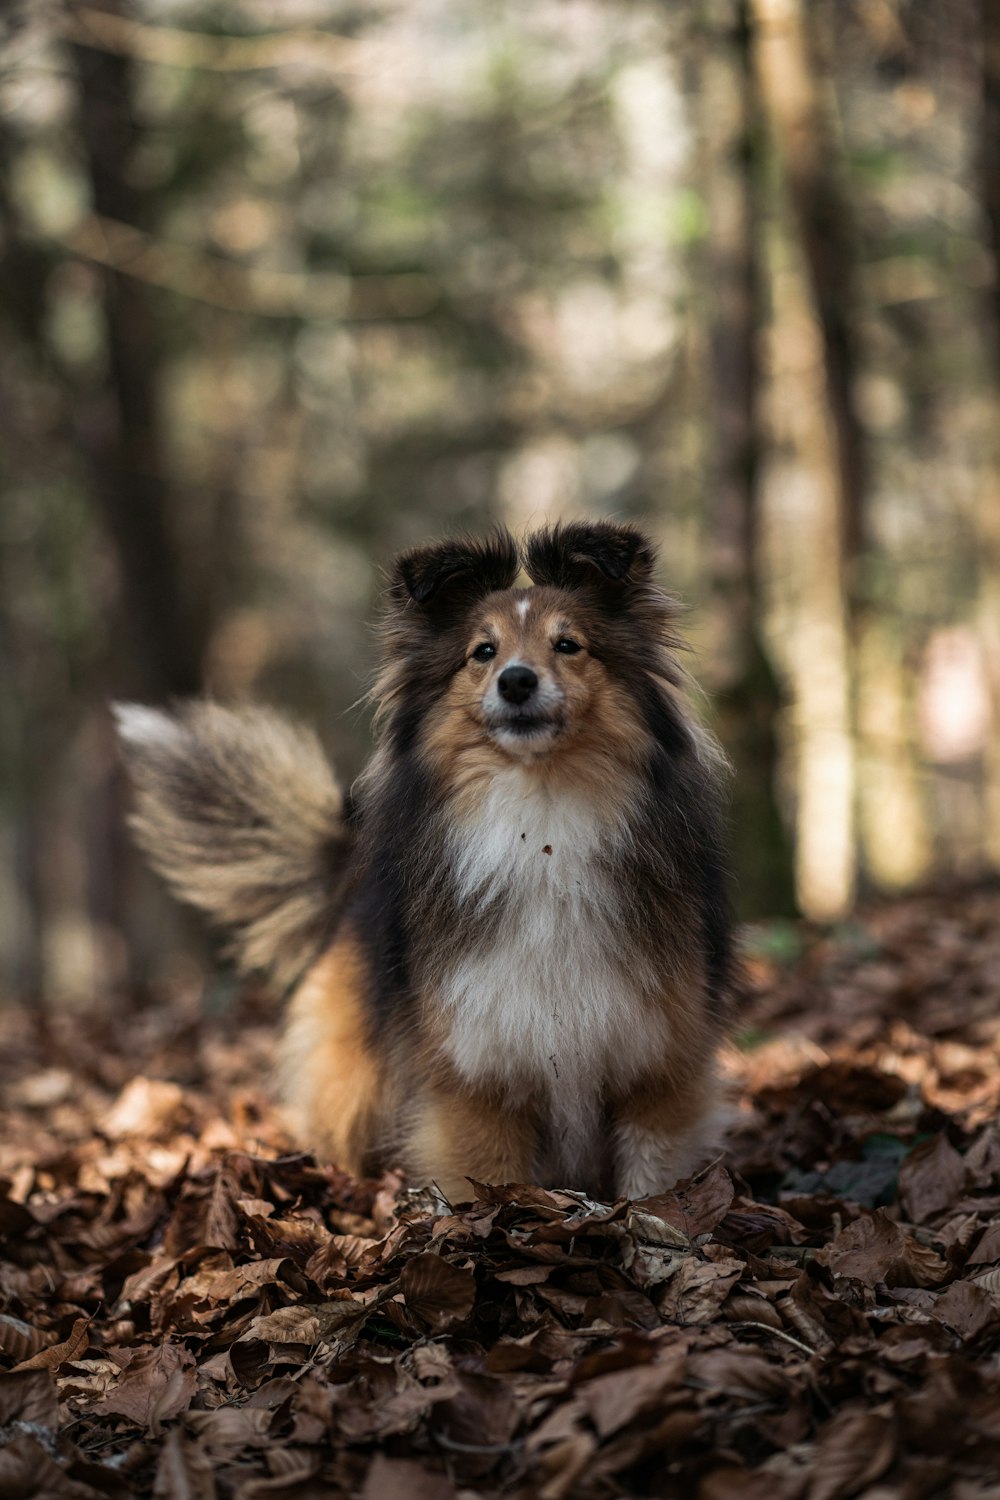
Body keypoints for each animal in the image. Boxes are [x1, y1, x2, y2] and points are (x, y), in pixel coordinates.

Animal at [121, 522, 740, 1200]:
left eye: (569, 645)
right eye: (483, 652)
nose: (517, 682)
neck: (541, 823)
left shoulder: (659, 1066)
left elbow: (653, 1181)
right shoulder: (477, 1073)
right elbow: (486, 1178)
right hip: (355, 1076)